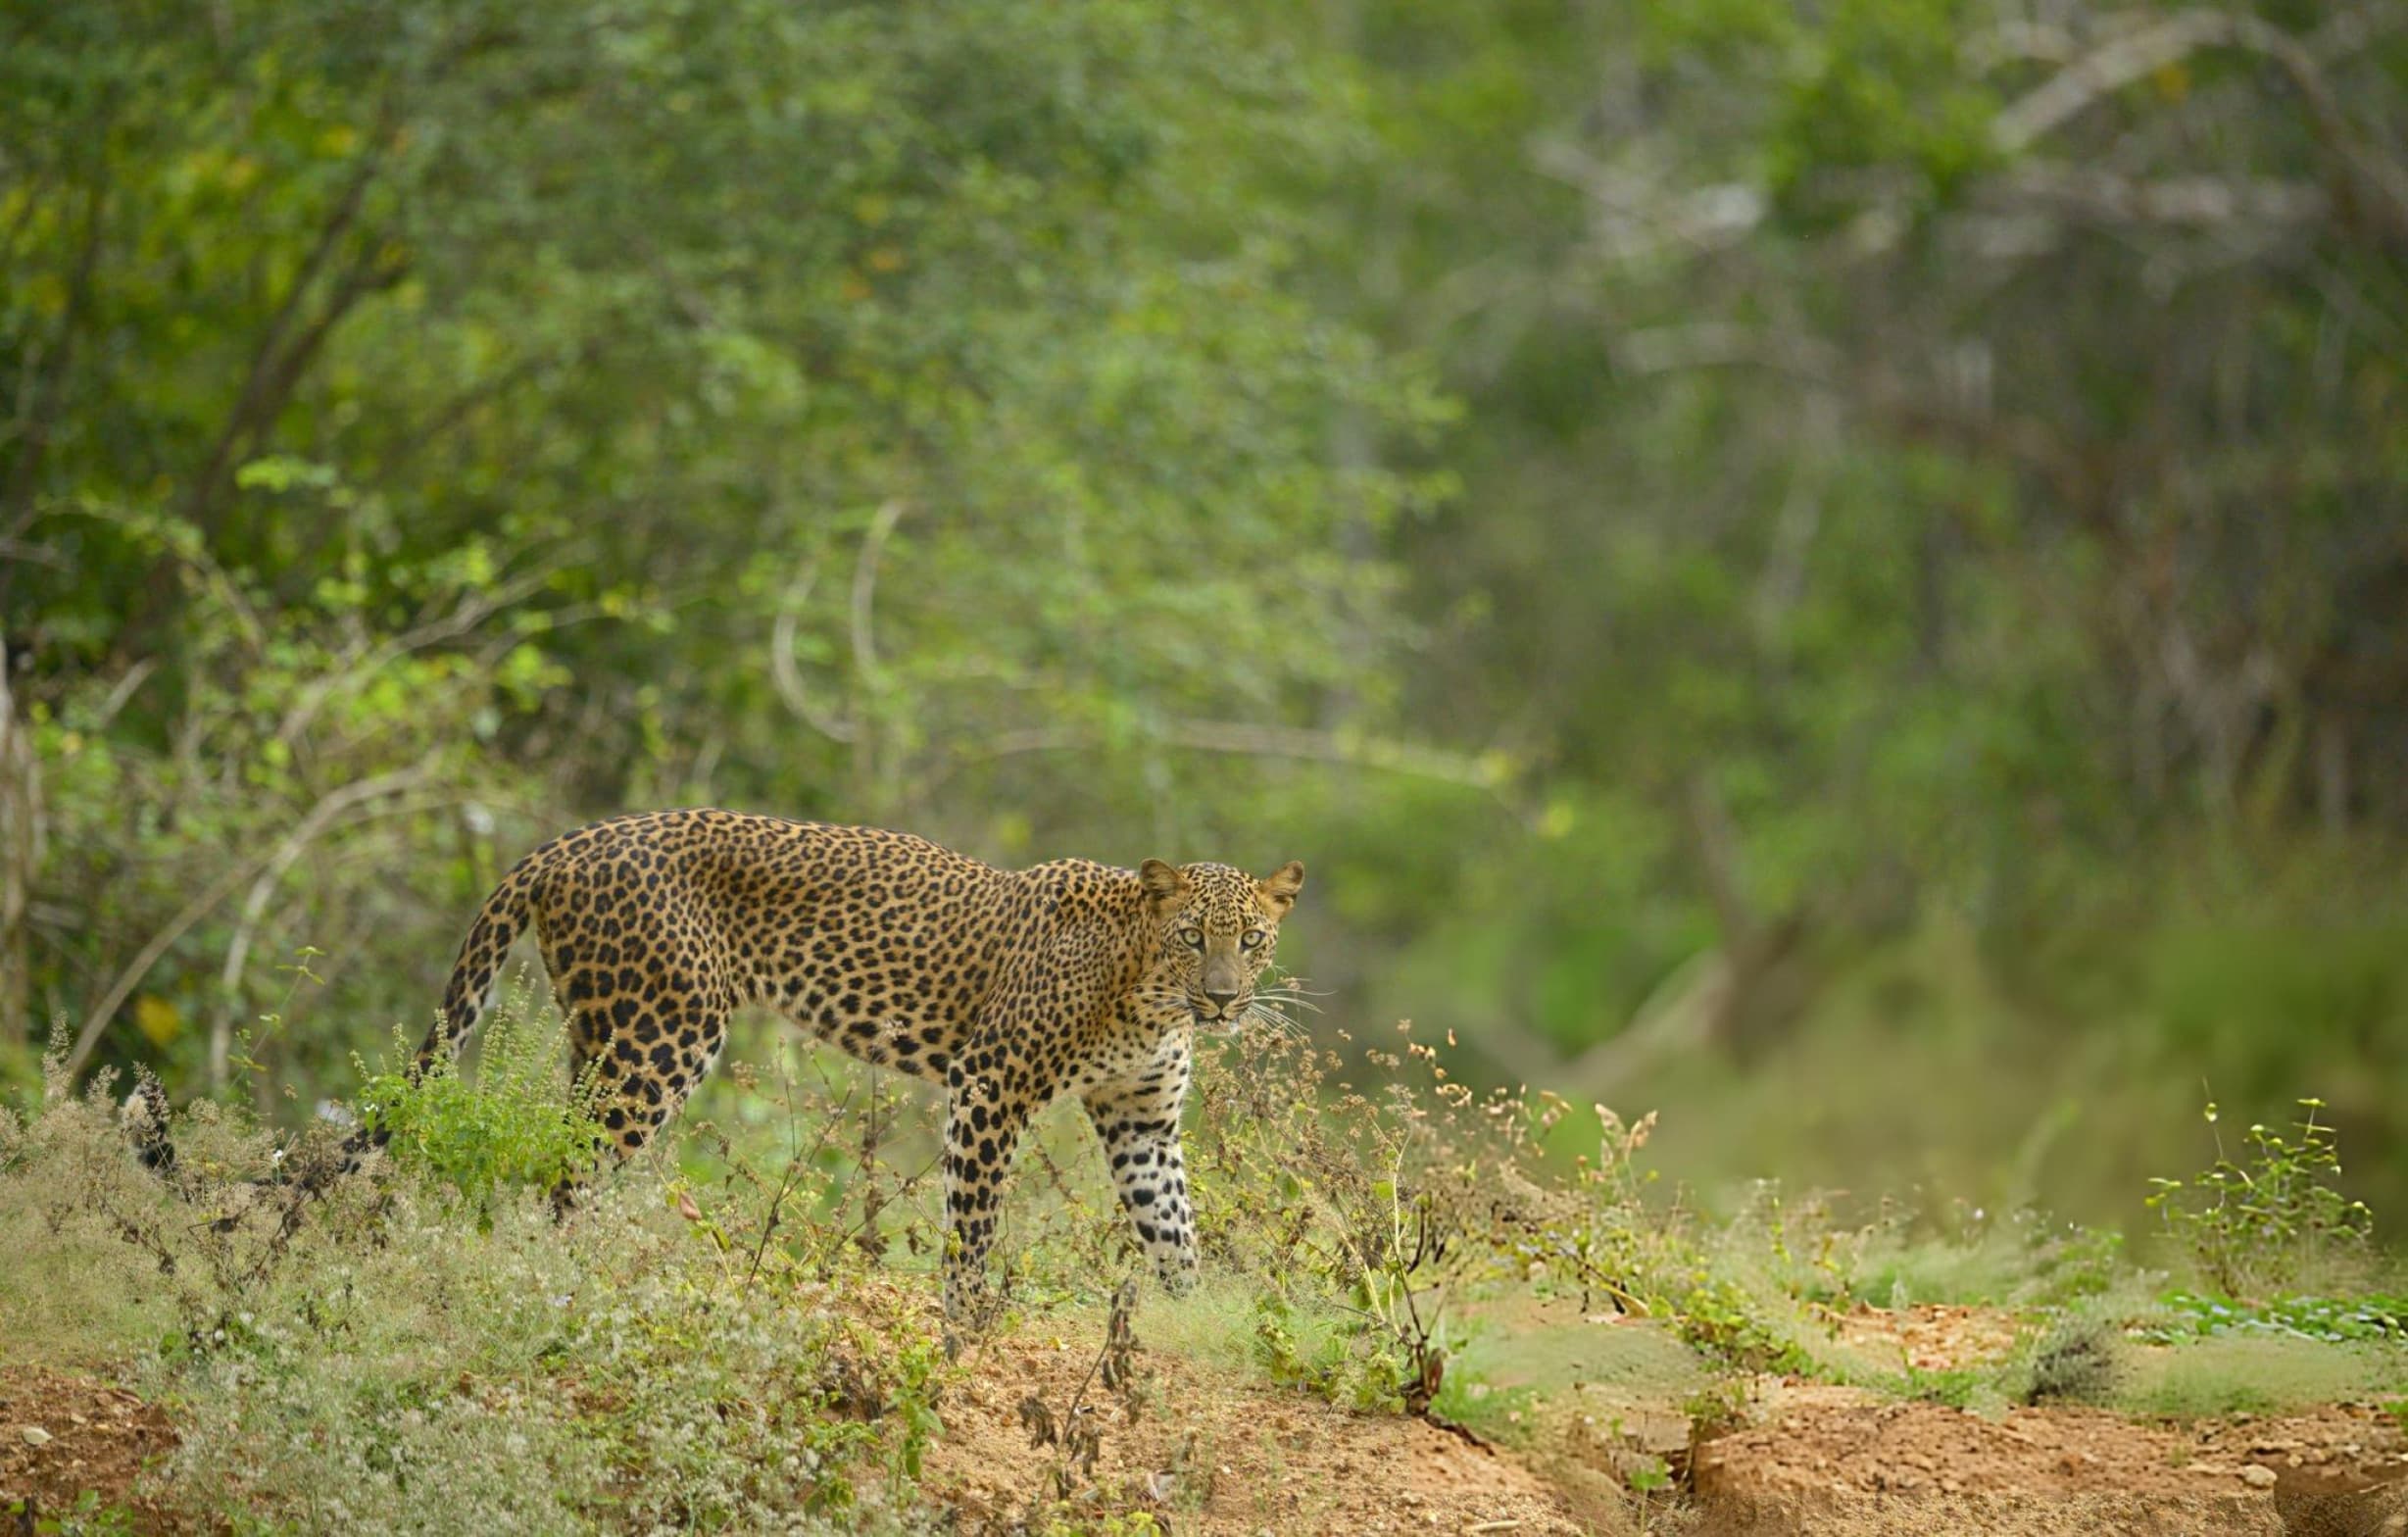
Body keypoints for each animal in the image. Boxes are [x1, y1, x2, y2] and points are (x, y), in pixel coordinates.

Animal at [376, 809, 1304, 1317]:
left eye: (1253, 941)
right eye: (1193, 939)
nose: (1224, 1000)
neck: (1146, 995)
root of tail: (568, 843)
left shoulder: (1142, 1120)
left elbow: (1173, 1230)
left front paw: (1192, 1320)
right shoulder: (989, 1085)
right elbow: (972, 1227)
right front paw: (965, 1326)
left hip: (601, 1040)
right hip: (657, 1041)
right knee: (564, 1174)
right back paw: (564, 1277)